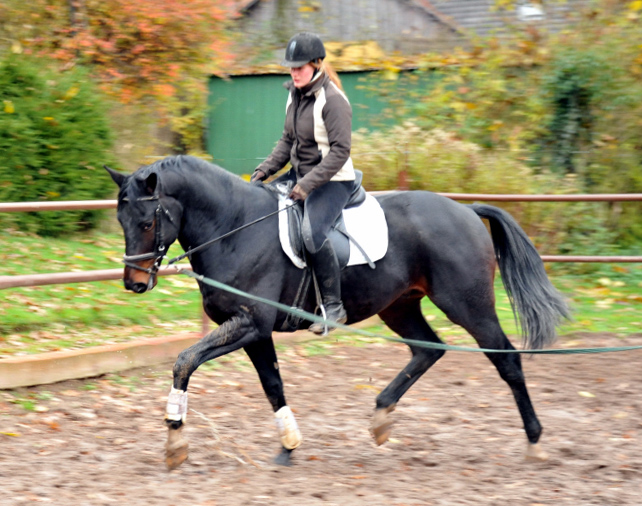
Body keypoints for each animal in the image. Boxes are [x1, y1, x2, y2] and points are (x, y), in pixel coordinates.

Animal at [102, 155, 568, 470]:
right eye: (121, 220)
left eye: (147, 222)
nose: (134, 283)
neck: (234, 228)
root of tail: (467, 210)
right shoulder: (256, 332)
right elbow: (273, 385)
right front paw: (288, 446)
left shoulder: (251, 324)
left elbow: (185, 361)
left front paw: (175, 442)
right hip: (399, 305)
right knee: (428, 349)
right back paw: (380, 418)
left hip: (468, 305)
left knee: (506, 359)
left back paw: (535, 442)